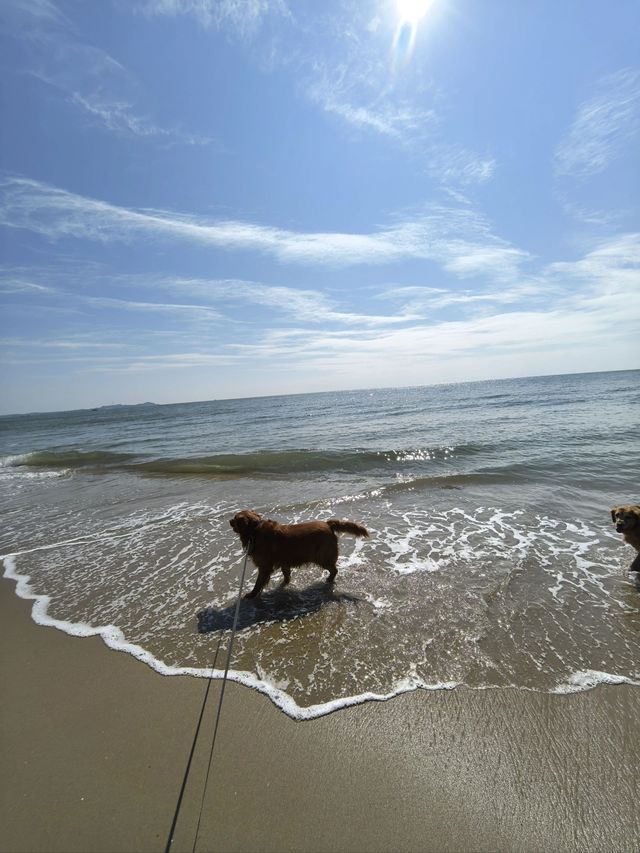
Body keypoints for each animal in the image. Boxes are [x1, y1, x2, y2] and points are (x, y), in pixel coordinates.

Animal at [230, 512, 370, 600]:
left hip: (322, 557)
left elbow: (258, 583)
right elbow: (286, 574)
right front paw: (284, 584)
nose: (229, 521)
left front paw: (251, 594)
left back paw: (329, 580)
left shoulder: (264, 567)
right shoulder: (284, 562)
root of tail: (328, 524)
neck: (255, 530)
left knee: (334, 570)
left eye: (235, 519)